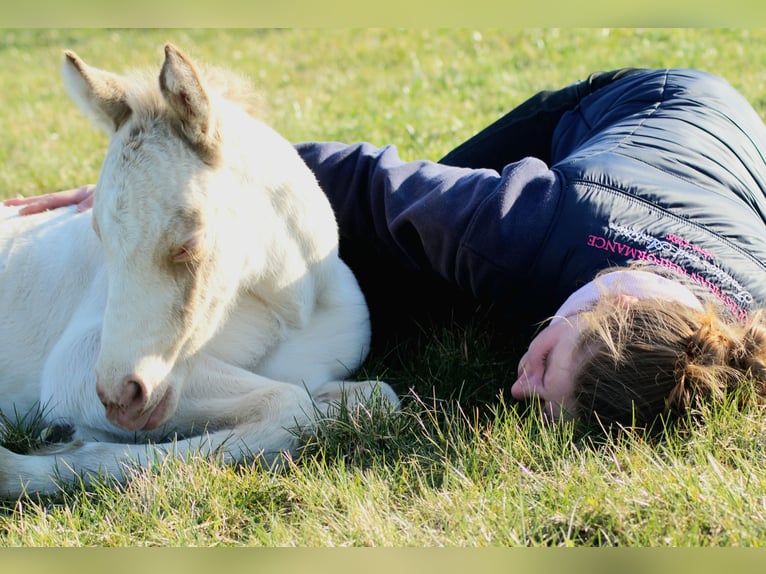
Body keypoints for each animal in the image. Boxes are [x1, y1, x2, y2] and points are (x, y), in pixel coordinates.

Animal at [0, 44, 398, 498]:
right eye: (99, 235)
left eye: (189, 243)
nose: (122, 398)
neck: (291, 312)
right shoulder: (76, 365)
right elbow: (292, 404)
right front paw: (32, 461)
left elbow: (376, 398)